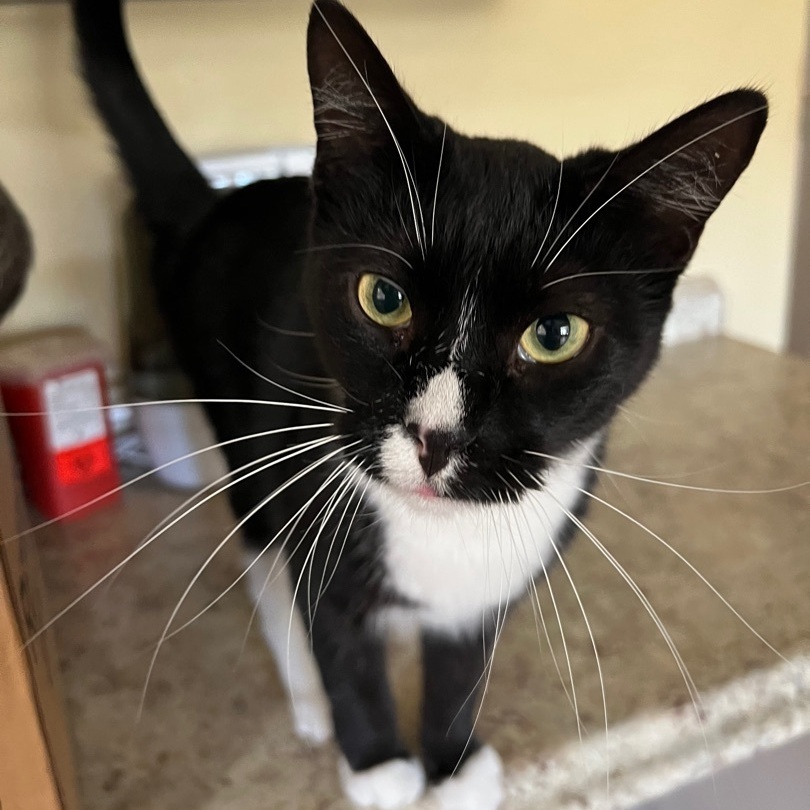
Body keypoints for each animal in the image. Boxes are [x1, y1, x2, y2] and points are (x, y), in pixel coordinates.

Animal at [71, 3, 764, 804]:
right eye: (383, 297)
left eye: (555, 335)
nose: (437, 437)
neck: (440, 529)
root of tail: (215, 202)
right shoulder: (312, 505)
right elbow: (339, 636)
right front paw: (376, 762)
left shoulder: (493, 579)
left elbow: (463, 662)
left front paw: (453, 764)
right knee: (261, 553)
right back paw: (305, 693)